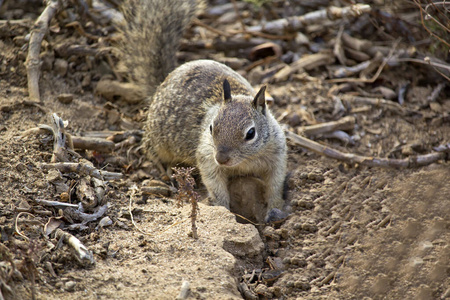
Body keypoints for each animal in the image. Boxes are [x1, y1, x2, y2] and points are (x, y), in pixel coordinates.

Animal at [119, 0, 288, 220]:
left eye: (251, 133)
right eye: (211, 128)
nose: (222, 158)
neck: (245, 161)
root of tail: (160, 85)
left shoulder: (277, 155)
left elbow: (275, 185)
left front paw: (276, 208)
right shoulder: (207, 156)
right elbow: (214, 184)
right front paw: (222, 209)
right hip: (158, 139)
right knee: (151, 151)